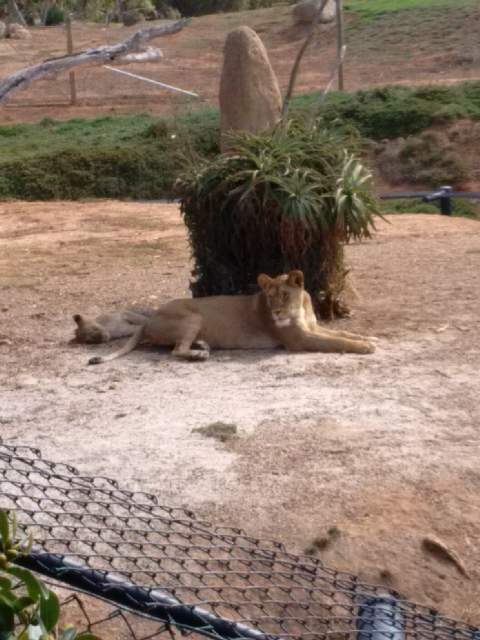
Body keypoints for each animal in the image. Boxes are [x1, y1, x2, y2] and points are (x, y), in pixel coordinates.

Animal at [75, 270, 375, 365]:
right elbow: (337, 342)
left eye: (284, 295)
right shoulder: (298, 340)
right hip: (192, 317)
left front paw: (369, 338)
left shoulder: (312, 328)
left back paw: (202, 346)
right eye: (270, 297)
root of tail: (149, 319)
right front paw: (365, 347)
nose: (276, 312)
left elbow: (342, 334)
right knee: (176, 350)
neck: (300, 307)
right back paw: (198, 354)